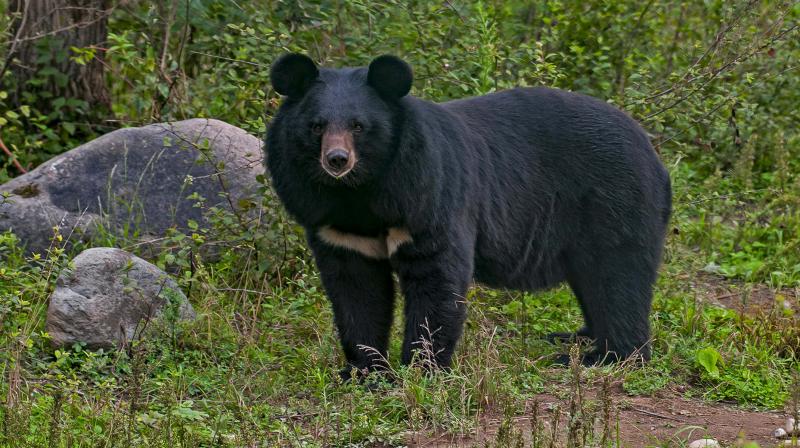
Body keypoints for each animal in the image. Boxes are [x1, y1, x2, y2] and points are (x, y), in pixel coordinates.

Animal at [266, 53, 672, 378]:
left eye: (358, 126)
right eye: (317, 126)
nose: (337, 160)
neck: (359, 193)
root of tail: (653, 153)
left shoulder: (427, 196)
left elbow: (436, 277)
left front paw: (422, 369)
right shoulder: (335, 226)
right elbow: (356, 290)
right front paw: (365, 370)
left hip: (615, 202)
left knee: (618, 277)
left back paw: (607, 355)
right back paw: (575, 336)